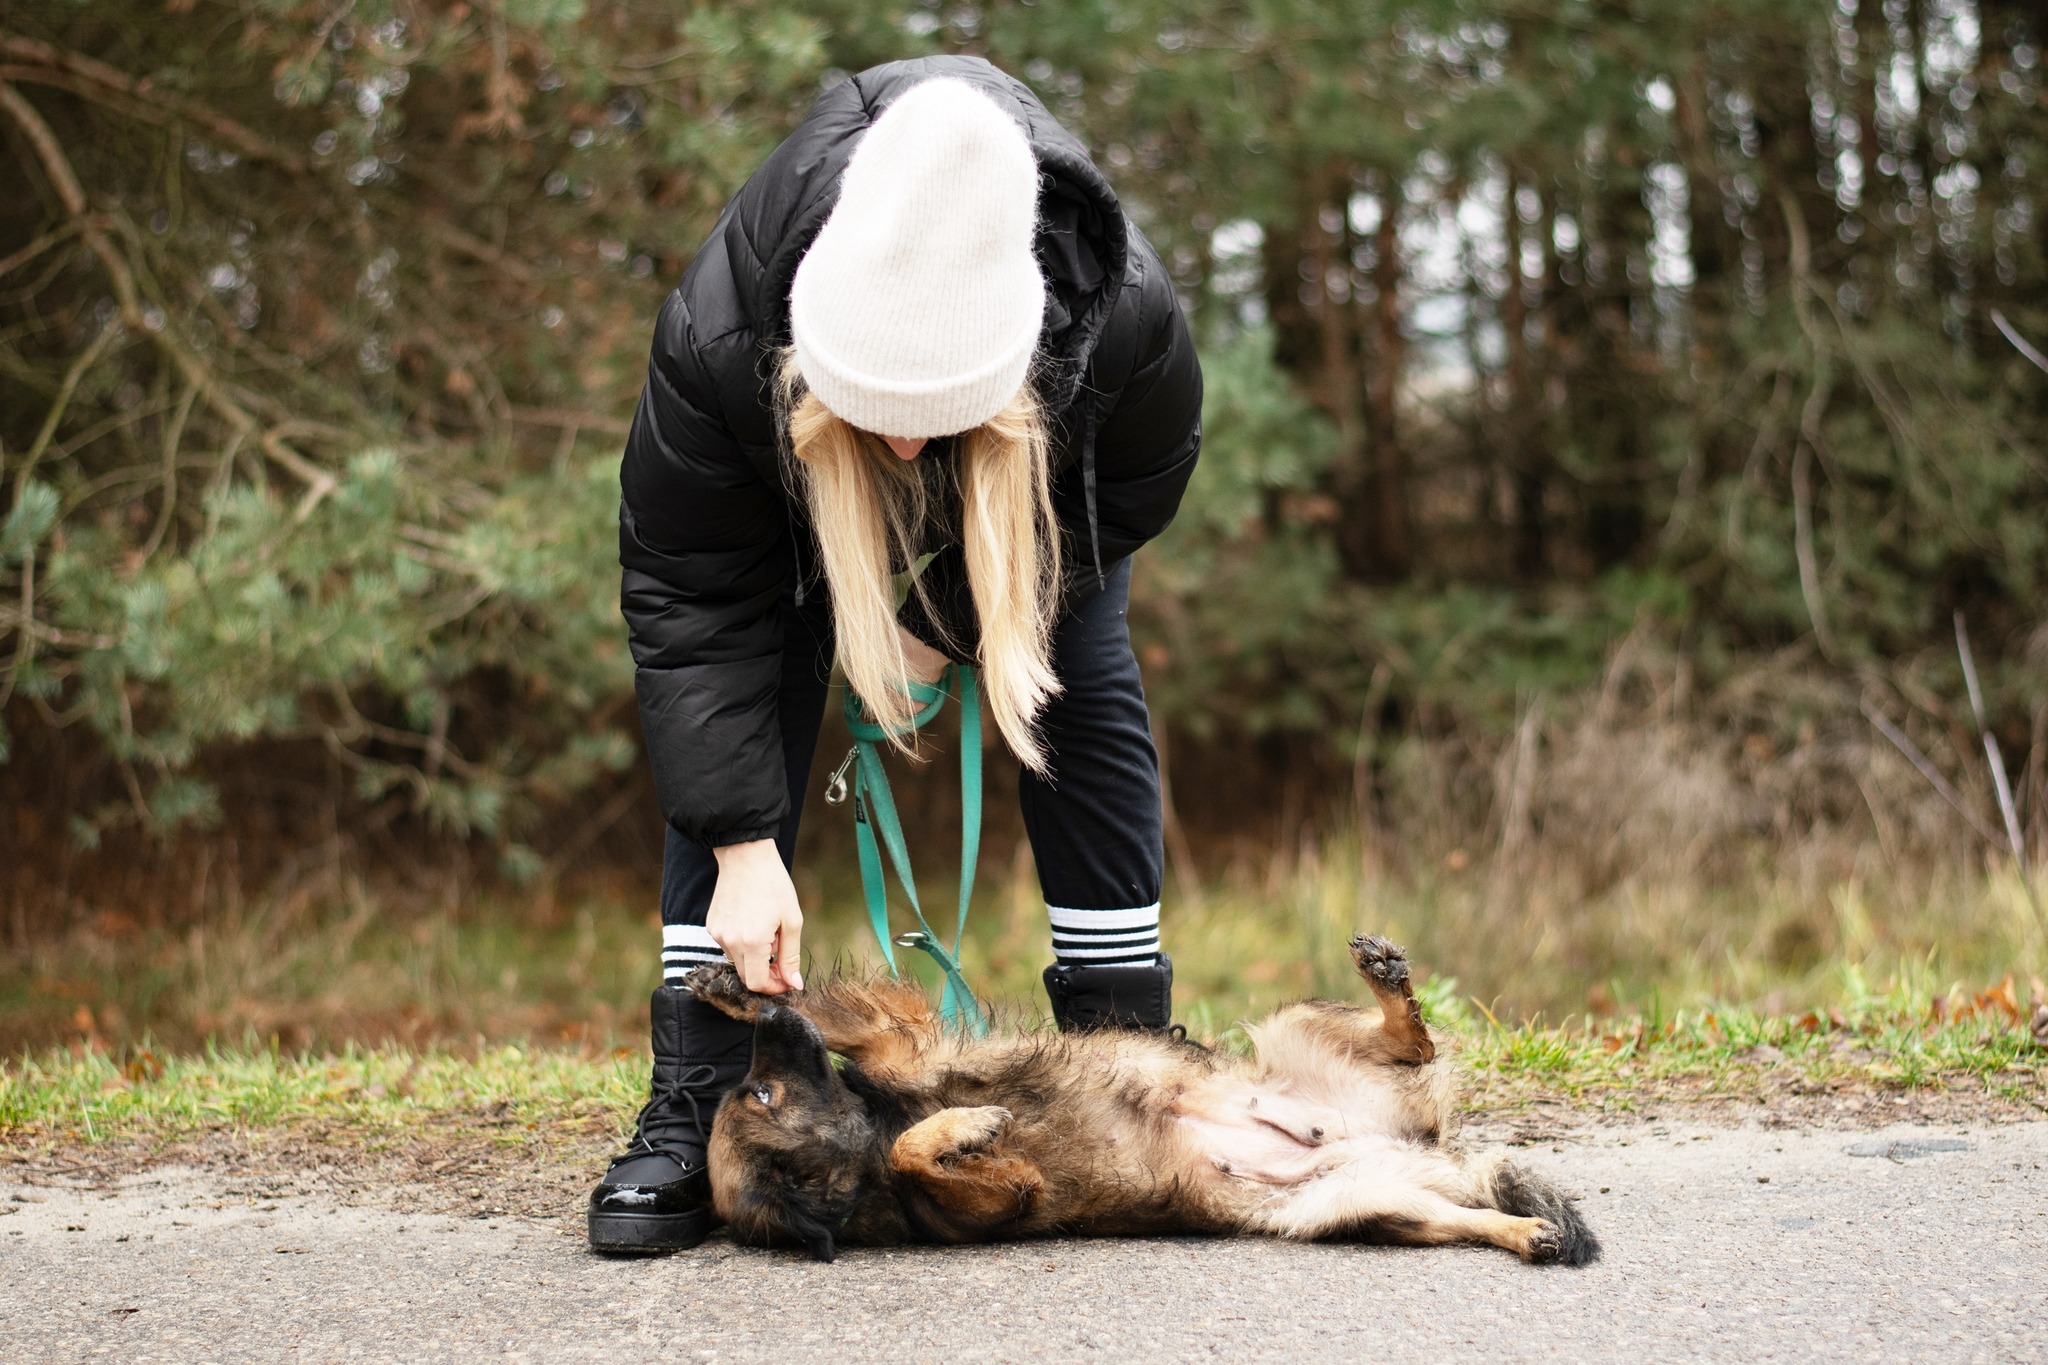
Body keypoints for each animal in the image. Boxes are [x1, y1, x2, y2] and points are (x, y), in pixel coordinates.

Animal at [688, 933, 1597, 1268]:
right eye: (760, 1090)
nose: (775, 1022)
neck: (875, 1131)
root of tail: (1414, 1146)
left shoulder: (894, 1039)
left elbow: (838, 1020)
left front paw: (734, 986)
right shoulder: (1008, 1187)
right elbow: (923, 1157)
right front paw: (967, 1126)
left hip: (1298, 1024)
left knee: (1414, 1041)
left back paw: (1387, 979)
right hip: (1360, 1208)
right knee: (1464, 1218)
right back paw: (1526, 1233)